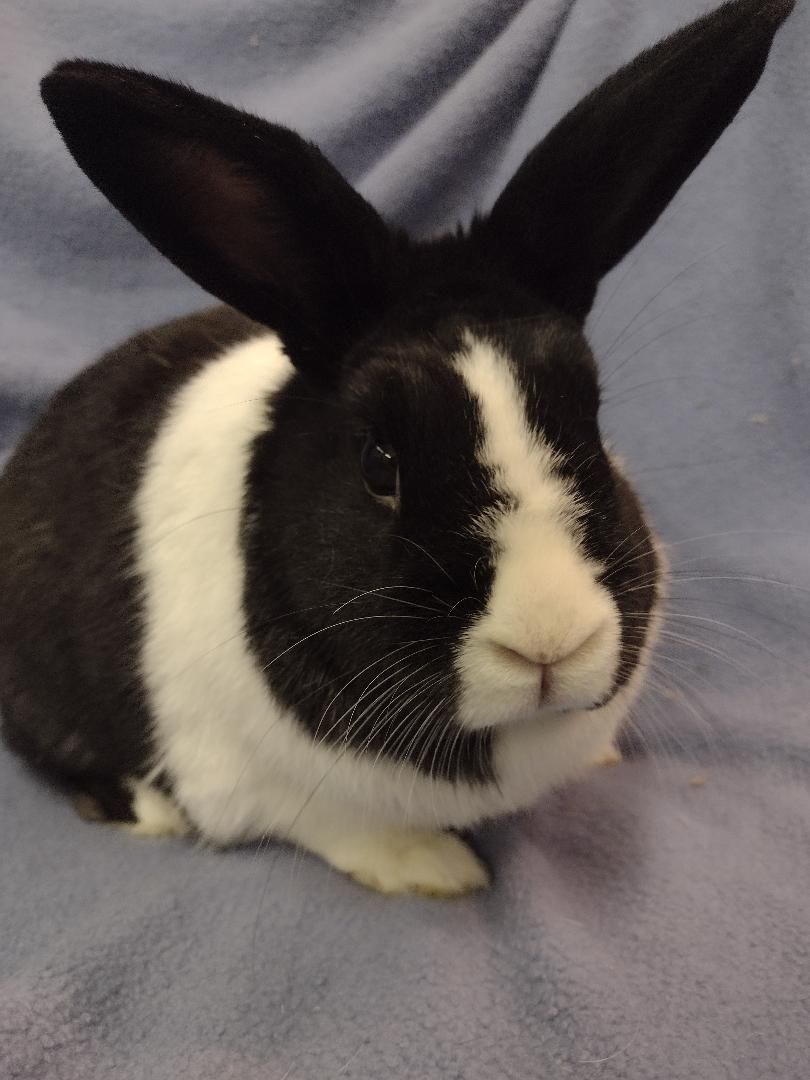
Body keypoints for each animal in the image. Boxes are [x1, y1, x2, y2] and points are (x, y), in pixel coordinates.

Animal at [0, 0, 794, 896]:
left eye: (588, 421)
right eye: (379, 464)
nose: (549, 644)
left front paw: (597, 761)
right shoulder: (264, 787)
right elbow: (351, 829)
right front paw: (439, 870)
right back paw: (148, 811)